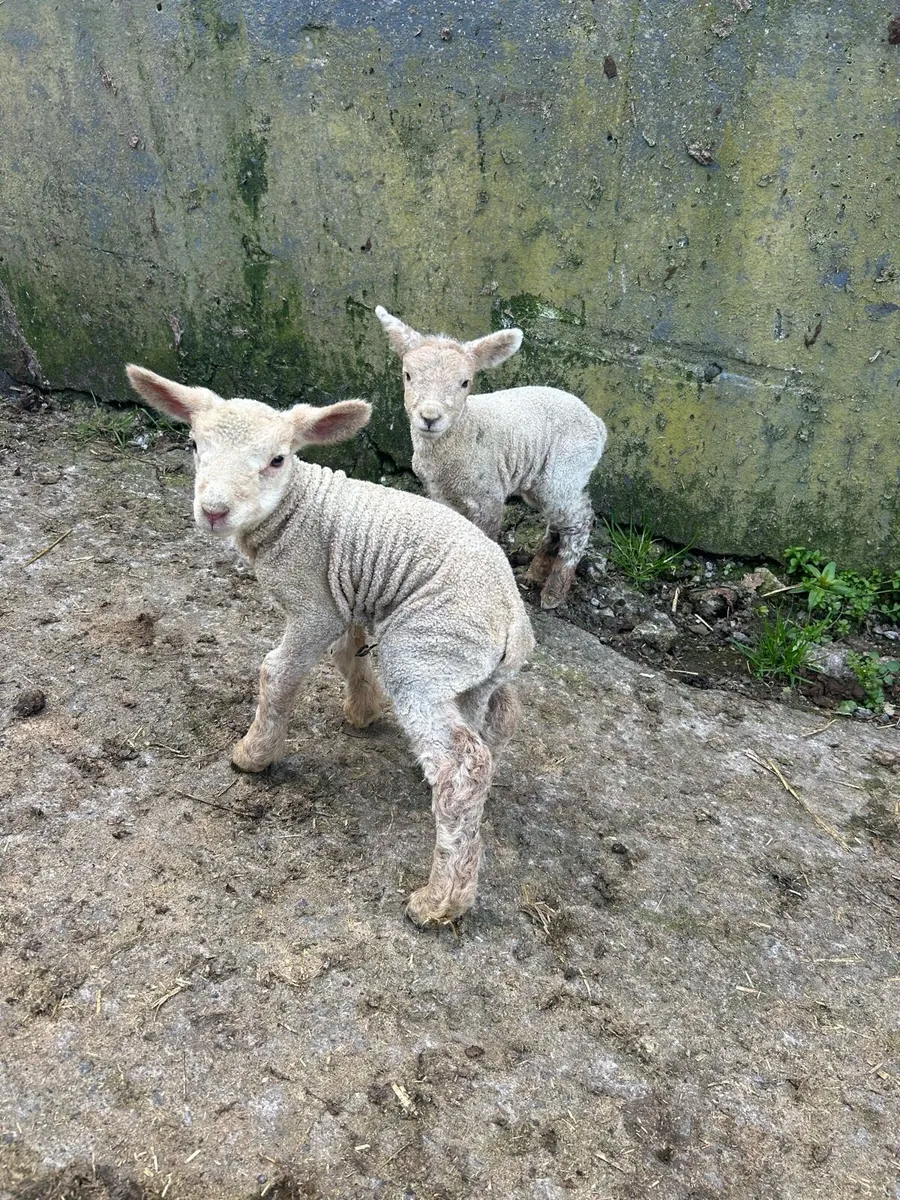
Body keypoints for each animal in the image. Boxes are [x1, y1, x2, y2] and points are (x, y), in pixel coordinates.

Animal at [125, 365, 535, 926]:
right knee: (482, 728)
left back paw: (441, 901)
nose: (213, 512)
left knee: (465, 766)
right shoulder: (344, 596)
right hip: (464, 667)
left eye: (277, 459)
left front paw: (253, 755)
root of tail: (515, 621)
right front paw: (363, 710)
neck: (295, 509)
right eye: (193, 445)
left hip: (424, 650)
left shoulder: (312, 604)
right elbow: (347, 654)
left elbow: (277, 672)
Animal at [375, 306, 608, 610]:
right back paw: (535, 573)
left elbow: (485, 537)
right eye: (407, 375)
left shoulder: (488, 497)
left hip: (565, 470)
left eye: (465, 383)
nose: (429, 417)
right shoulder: (441, 494)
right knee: (560, 518)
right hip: (542, 483)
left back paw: (554, 592)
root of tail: (598, 424)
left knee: (579, 519)